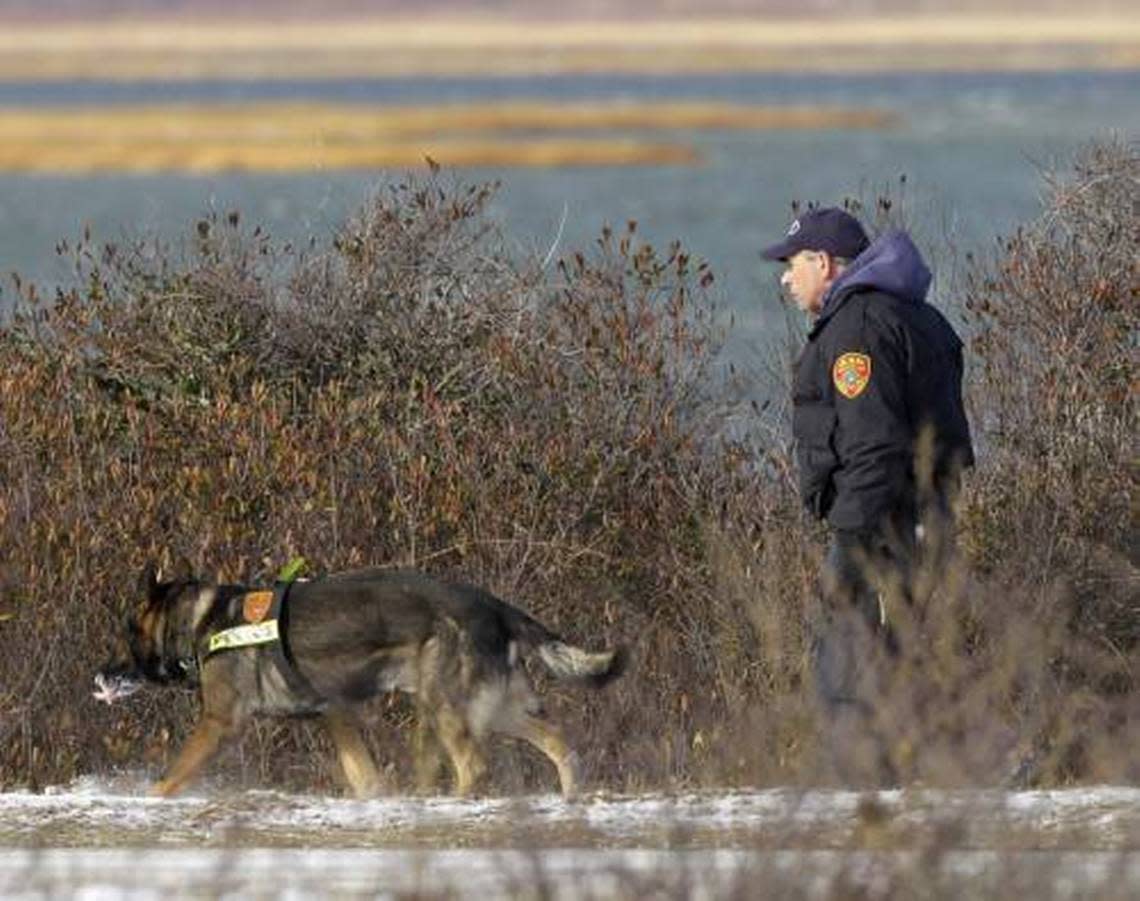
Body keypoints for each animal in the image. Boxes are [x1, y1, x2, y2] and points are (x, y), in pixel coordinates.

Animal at [99, 567, 629, 802]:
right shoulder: (336, 715)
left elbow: (173, 775)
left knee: (475, 765)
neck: (200, 622)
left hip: (446, 704)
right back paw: (570, 796)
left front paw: (148, 798)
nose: (101, 674)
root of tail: (499, 607)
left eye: (127, 633)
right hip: (493, 707)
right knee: (558, 740)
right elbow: (363, 774)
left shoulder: (219, 723)